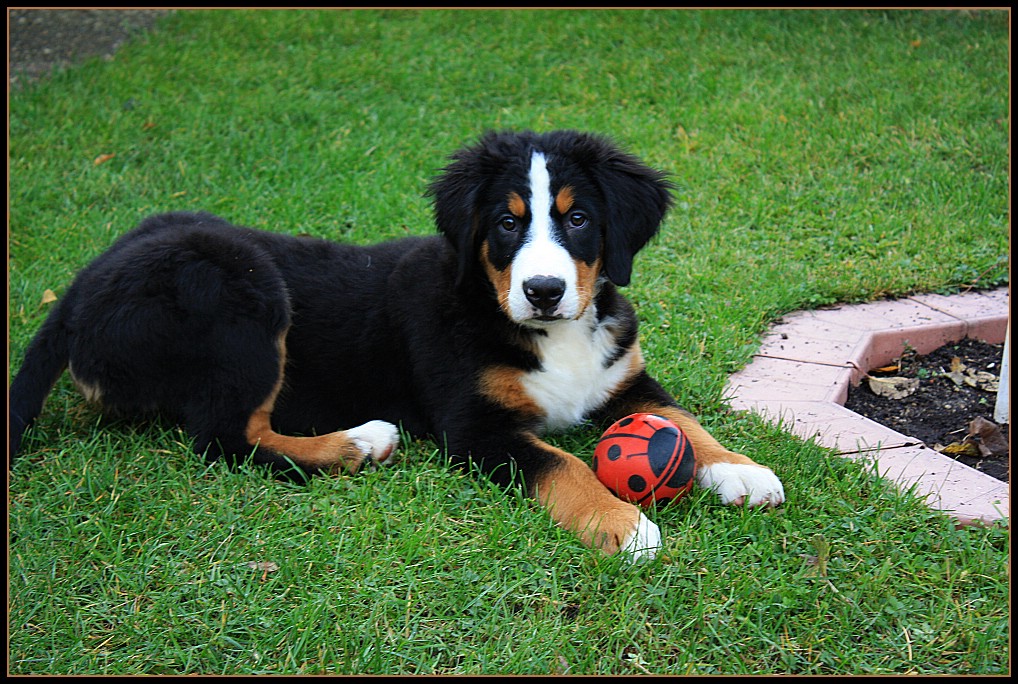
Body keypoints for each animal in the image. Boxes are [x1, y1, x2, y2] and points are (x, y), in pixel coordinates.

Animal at [7, 129, 781, 561]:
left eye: (580, 219)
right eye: (507, 223)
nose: (544, 290)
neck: (540, 328)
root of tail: (81, 288)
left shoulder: (624, 379)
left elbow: (681, 422)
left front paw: (739, 471)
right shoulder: (475, 427)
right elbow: (561, 463)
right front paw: (623, 525)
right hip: (244, 286)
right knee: (226, 438)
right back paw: (358, 442)